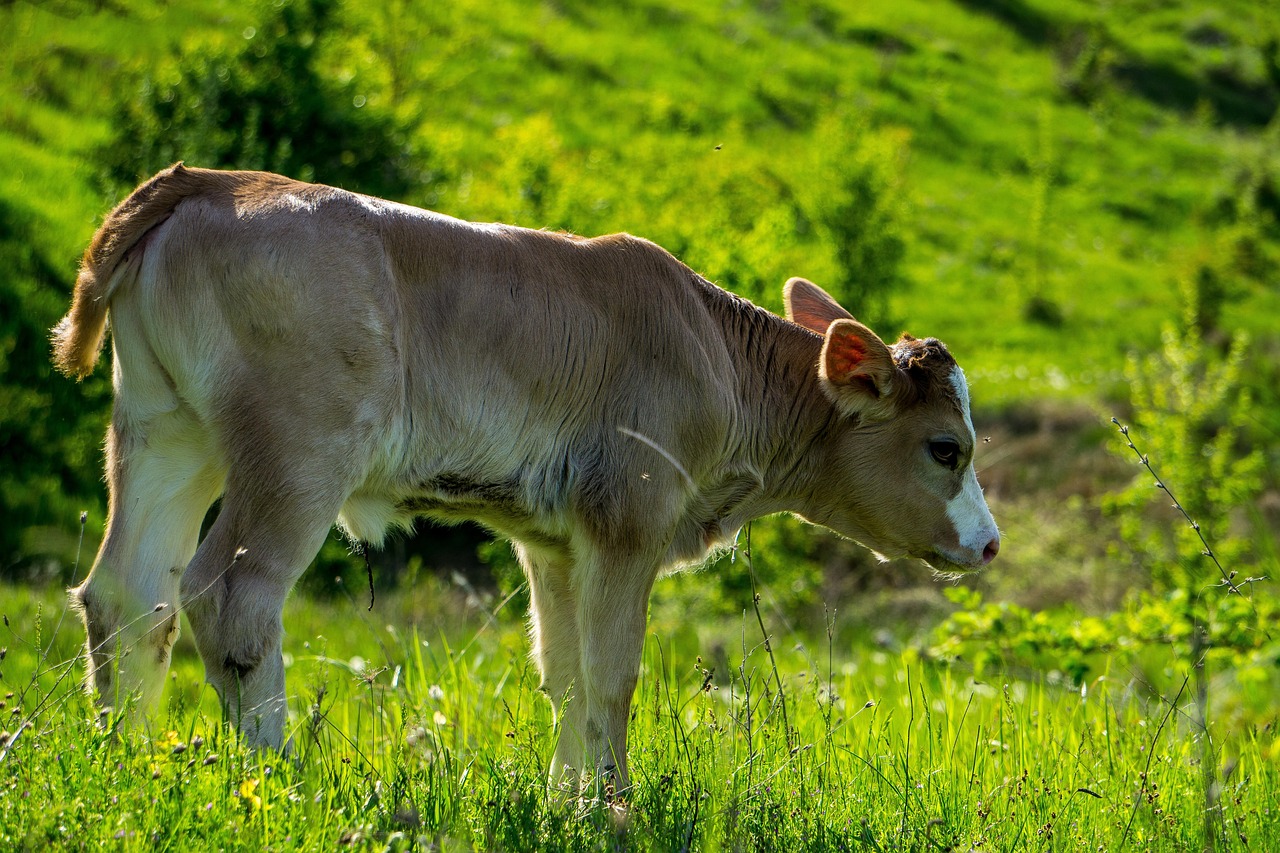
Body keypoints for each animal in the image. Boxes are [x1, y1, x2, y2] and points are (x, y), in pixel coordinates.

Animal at [52, 163, 999, 793]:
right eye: (946, 447)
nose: (990, 544)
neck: (715, 356)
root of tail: (212, 182)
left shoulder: (555, 539)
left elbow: (566, 673)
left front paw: (566, 803)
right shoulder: (628, 517)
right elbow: (613, 675)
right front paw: (616, 809)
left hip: (165, 428)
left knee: (128, 594)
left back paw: (128, 760)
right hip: (296, 450)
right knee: (230, 597)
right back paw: (277, 779)